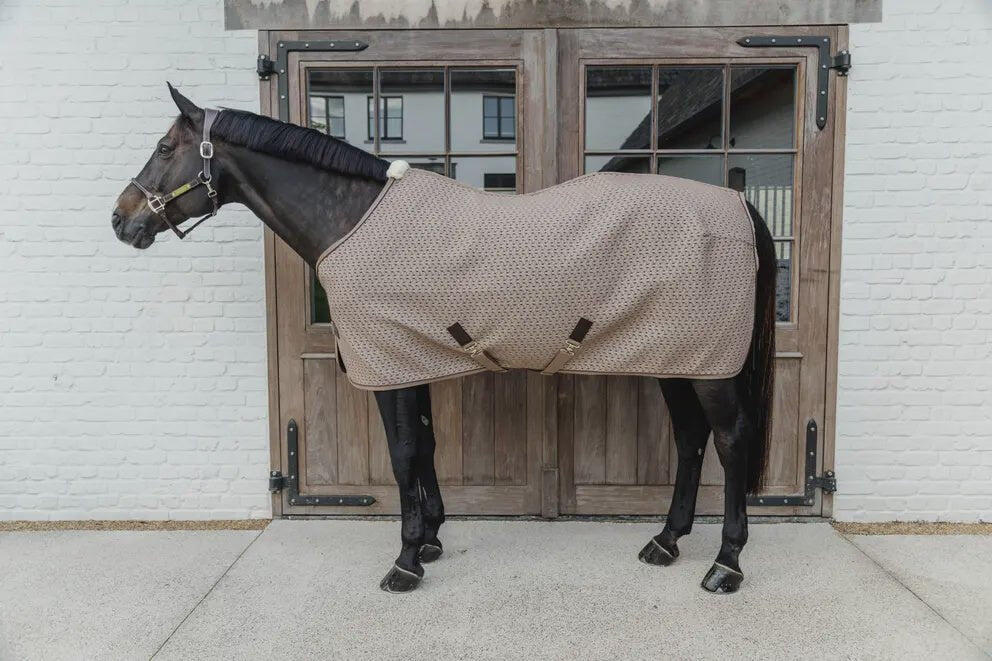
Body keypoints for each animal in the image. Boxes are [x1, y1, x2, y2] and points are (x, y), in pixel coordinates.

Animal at [112, 85, 776, 594]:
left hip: (710, 369)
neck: (353, 217)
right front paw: (430, 538)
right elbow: (425, 448)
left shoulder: (390, 365)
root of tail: (738, 203)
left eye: (165, 147)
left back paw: (726, 564)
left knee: (730, 441)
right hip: (679, 358)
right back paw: (667, 541)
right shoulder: (412, 360)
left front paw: (405, 562)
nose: (121, 220)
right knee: (690, 440)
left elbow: (403, 453)